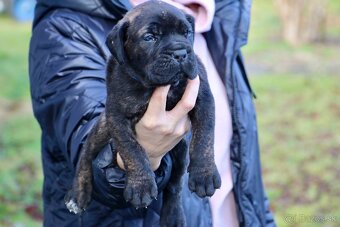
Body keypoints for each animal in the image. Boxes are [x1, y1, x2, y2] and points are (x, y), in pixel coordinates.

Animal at [65, 1, 222, 225]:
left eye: (187, 33)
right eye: (150, 37)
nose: (181, 53)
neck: (158, 85)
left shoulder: (204, 98)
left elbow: (204, 138)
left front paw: (204, 175)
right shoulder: (116, 116)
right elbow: (132, 149)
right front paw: (141, 186)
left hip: (181, 151)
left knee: (174, 185)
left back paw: (173, 216)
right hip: (101, 129)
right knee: (86, 155)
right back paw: (78, 195)